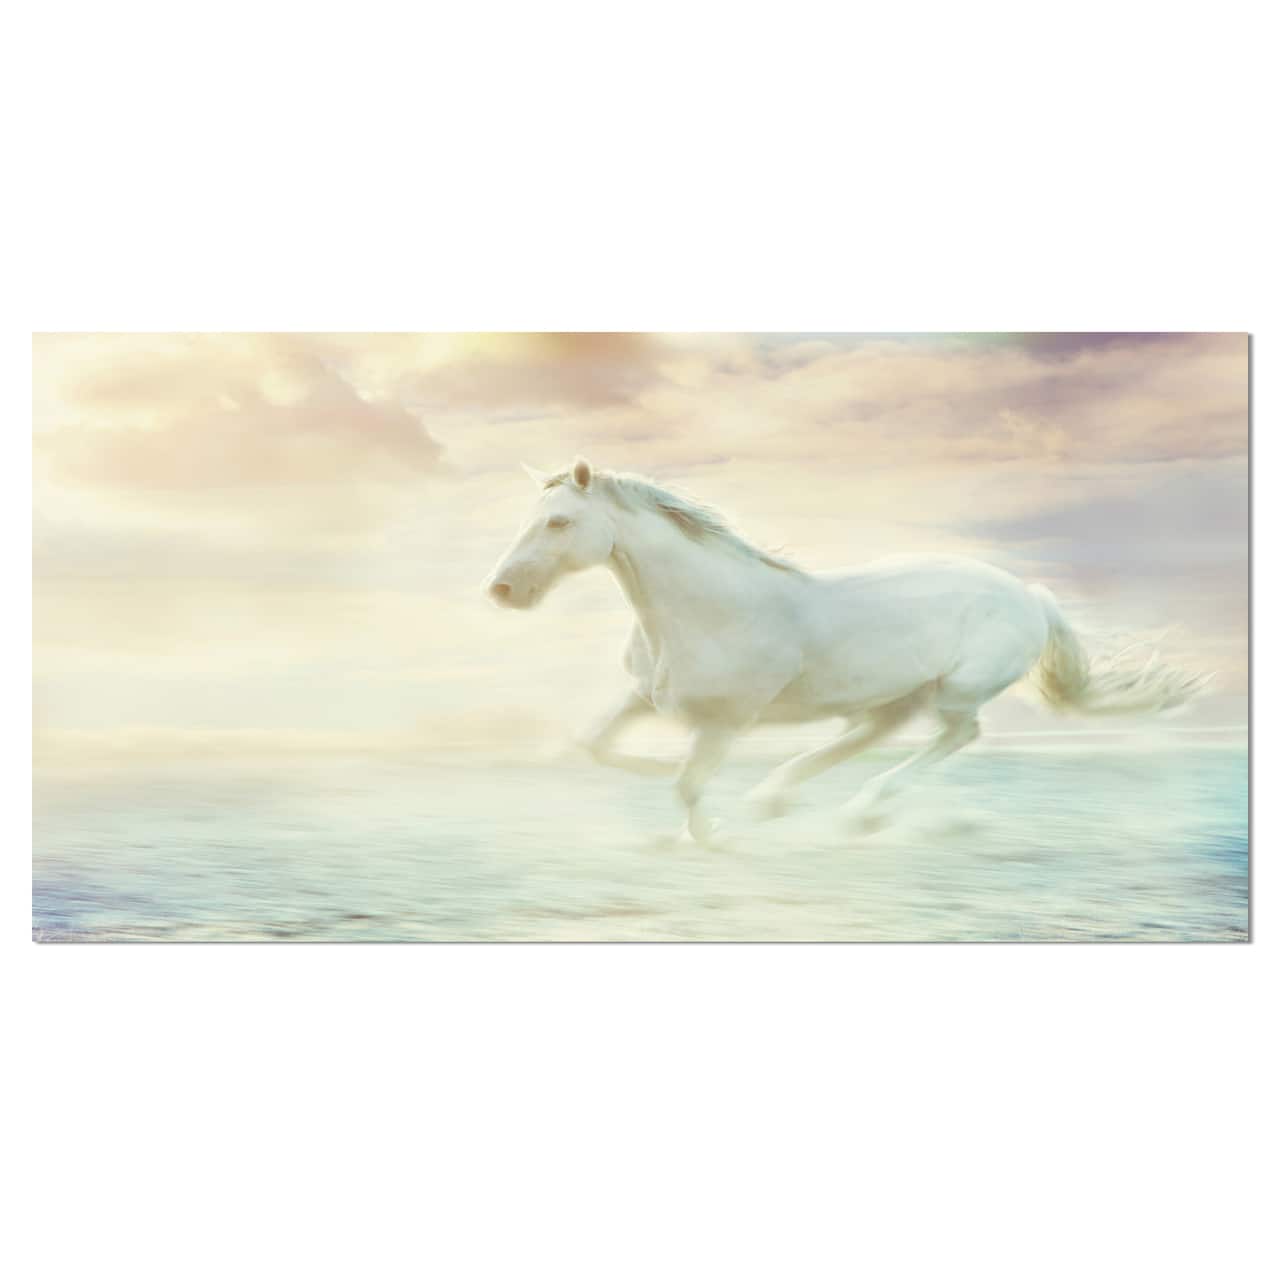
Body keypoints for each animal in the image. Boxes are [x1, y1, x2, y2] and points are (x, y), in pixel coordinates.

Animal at [484, 457, 1207, 846]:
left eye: (559, 522)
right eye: (533, 518)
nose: (502, 589)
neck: (707, 609)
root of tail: (1028, 594)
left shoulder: (725, 722)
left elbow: (687, 785)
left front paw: (713, 837)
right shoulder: (644, 696)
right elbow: (594, 745)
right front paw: (661, 778)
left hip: (955, 691)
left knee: (956, 736)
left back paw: (863, 810)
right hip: (897, 694)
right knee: (869, 735)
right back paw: (778, 798)